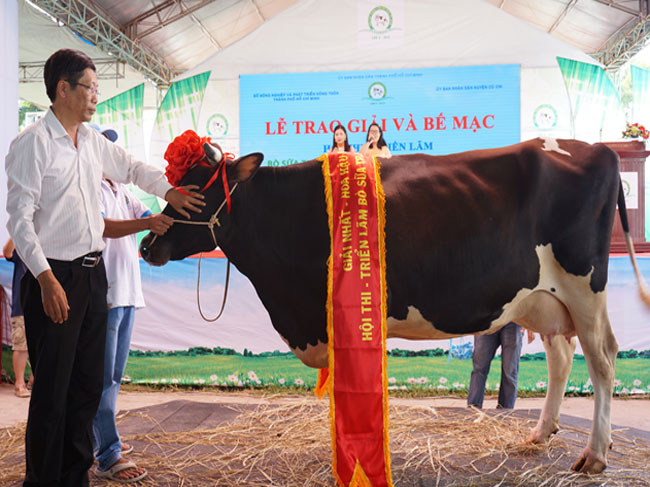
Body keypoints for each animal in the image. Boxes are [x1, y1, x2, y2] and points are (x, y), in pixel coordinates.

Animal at [139, 138, 644, 476]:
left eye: (194, 190)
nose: (147, 243)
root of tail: (594, 147)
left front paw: (354, 460)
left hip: (584, 287)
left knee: (603, 358)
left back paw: (595, 455)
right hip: (544, 300)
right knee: (561, 357)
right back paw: (541, 432)